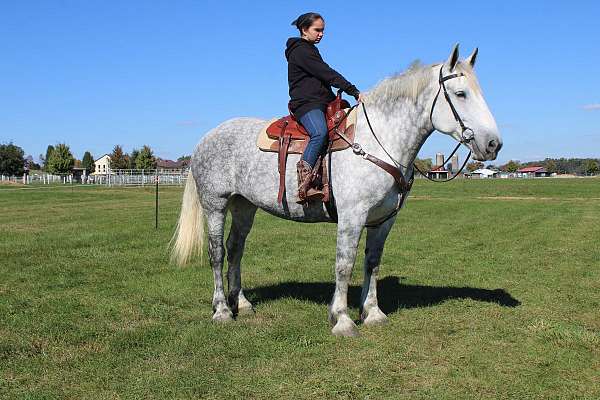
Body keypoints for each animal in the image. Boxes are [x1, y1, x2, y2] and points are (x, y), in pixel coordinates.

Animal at [172, 45, 502, 336]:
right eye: (460, 94)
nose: (493, 144)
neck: (377, 140)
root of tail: (204, 139)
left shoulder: (383, 220)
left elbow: (372, 262)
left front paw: (372, 313)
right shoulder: (351, 217)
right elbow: (345, 265)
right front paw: (342, 319)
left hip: (244, 206)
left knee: (235, 249)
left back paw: (241, 303)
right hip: (215, 205)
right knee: (216, 253)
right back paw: (221, 310)